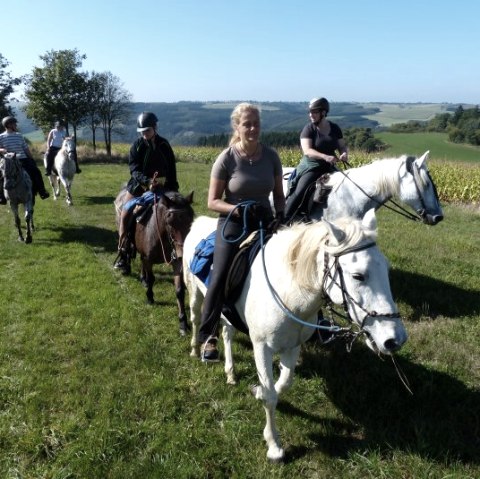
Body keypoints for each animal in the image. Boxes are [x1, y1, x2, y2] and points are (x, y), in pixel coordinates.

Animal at [113, 189, 194, 336]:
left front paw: (183, 323)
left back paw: (142, 278)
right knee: (127, 250)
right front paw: (150, 297)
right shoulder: (149, 259)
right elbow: (151, 278)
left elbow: (179, 291)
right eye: (169, 221)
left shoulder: (176, 263)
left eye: (190, 220)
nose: (182, 252)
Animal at [183, 212, 404, 464]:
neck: (287, 290)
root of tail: (199, 221)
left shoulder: (293, 346)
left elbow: (283, 384)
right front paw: (274, 446)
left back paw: (230, 373)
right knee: (196, 319)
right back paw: (196, 349)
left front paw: (257, 391)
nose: (395, 338)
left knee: (227, 333)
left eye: (386, 269)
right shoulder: (261, 347)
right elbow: (271, 396)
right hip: (195, 293)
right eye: (358, 275)